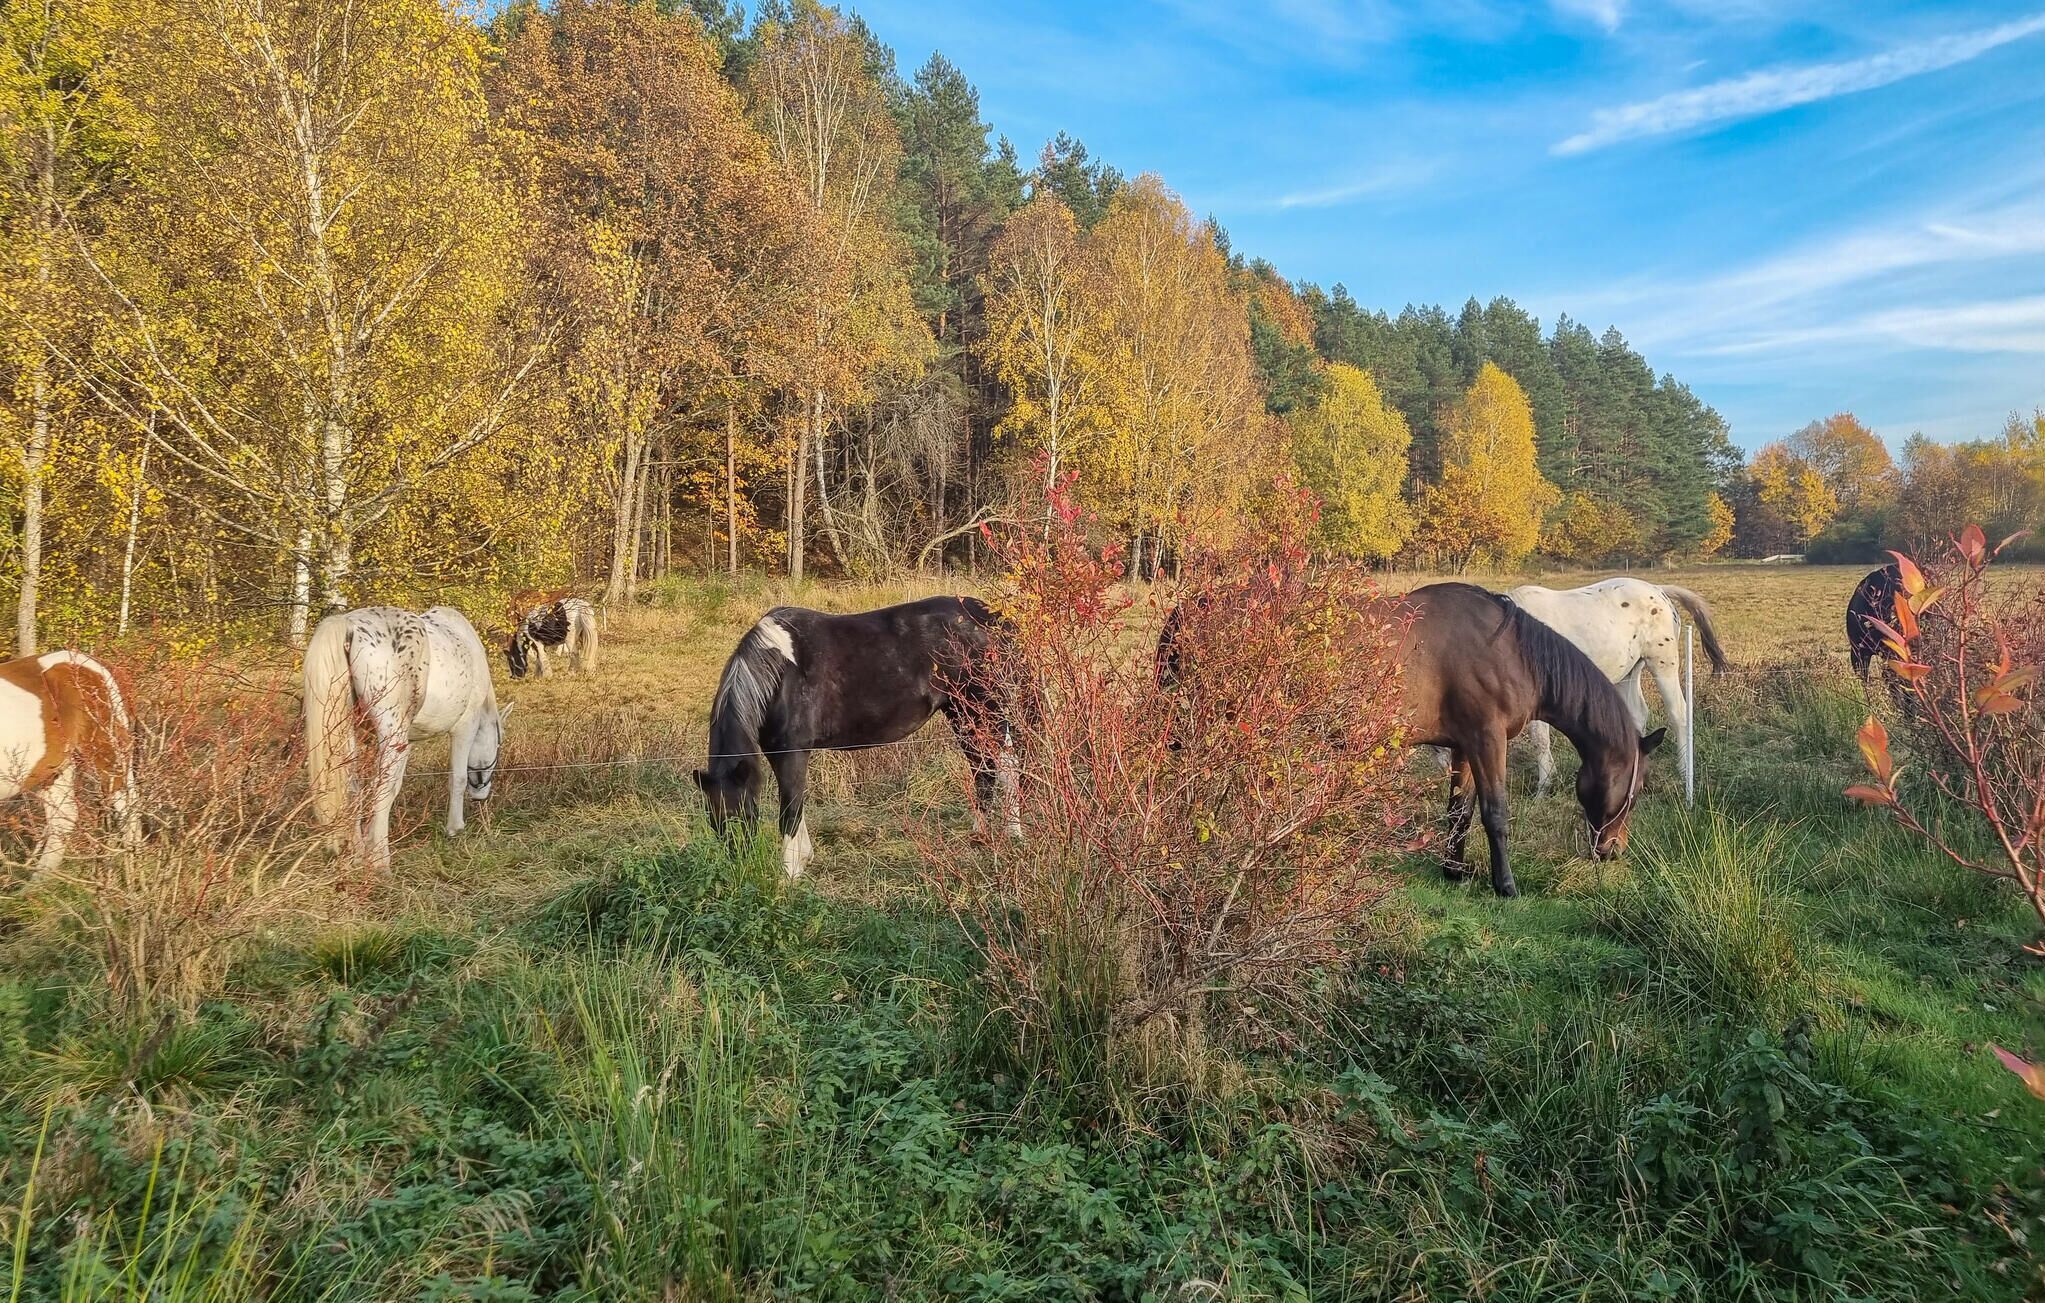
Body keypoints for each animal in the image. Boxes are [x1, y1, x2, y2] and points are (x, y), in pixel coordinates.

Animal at [303, 606, 512, 876]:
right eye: (498, 748)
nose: (481, 796)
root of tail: (348, 625)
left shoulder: (408, 739)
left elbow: (394, 787)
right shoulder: (465, 727)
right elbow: (457, 778)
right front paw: (455, 828)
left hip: (351, 734)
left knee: (354, 788)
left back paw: (358, 855)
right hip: (390, 735)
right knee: (379, 789)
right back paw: (381, 862)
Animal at [694, 596, 1017, 878]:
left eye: (746, 815)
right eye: (714, 821)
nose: (740, 867)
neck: (780, 675)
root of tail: (988, 615)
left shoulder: (792, 752)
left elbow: (790, 810)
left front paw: (789, 875)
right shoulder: (777, 753)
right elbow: (796, 802)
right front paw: (803, 860)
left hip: (983, 709)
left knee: (1001, 768)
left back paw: (1002, 834)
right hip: (961, 713)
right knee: (986, 767)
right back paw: (989, 833)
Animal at [1403, 583, 1665, 897]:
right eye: (1636, 790)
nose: (1614, 850)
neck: (1509, 652)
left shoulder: (1463, 746)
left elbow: (1460, 811)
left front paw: (1454, 871)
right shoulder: (1487, 739)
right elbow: (1495, 814)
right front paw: (1506, 886)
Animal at [1508, 578, 1725, 799]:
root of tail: (1659, 590)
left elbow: (1539, 738)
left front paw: (1542, 791)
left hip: (1662, 664)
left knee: (1678, 714)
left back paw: (1683, 775)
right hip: (1629, 673)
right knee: (1638, 715)